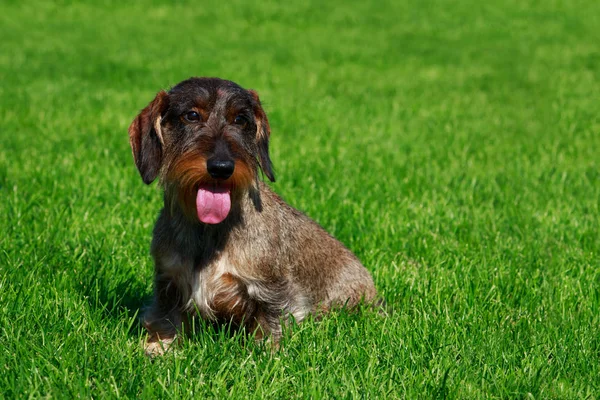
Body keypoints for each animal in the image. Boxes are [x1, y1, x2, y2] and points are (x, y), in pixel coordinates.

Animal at [129, 76, 378, 354]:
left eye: (240, 119)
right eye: (191, 115)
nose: (222, 167)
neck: (210, 231)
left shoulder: (270, 287)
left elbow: (269, 319)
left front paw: (265, 352)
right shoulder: (169, 280)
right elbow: (167, 317)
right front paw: (161, 347)